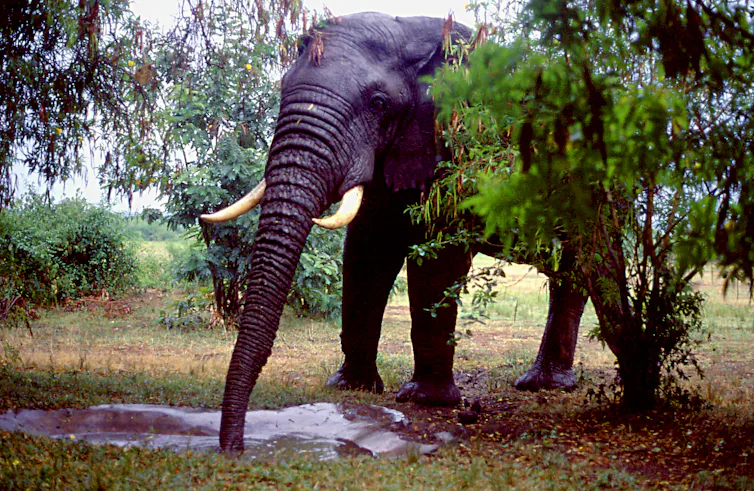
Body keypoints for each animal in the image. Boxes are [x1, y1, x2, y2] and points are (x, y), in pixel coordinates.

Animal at [202, 12, 589, 453]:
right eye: (283, 90)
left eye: (378, 104)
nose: (234, 447)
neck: (409, 34)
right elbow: (366, 253)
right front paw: (351, 388)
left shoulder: (454, 141)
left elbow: (436, 261)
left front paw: (425, 400)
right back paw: (541, 383)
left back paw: (546, 385)